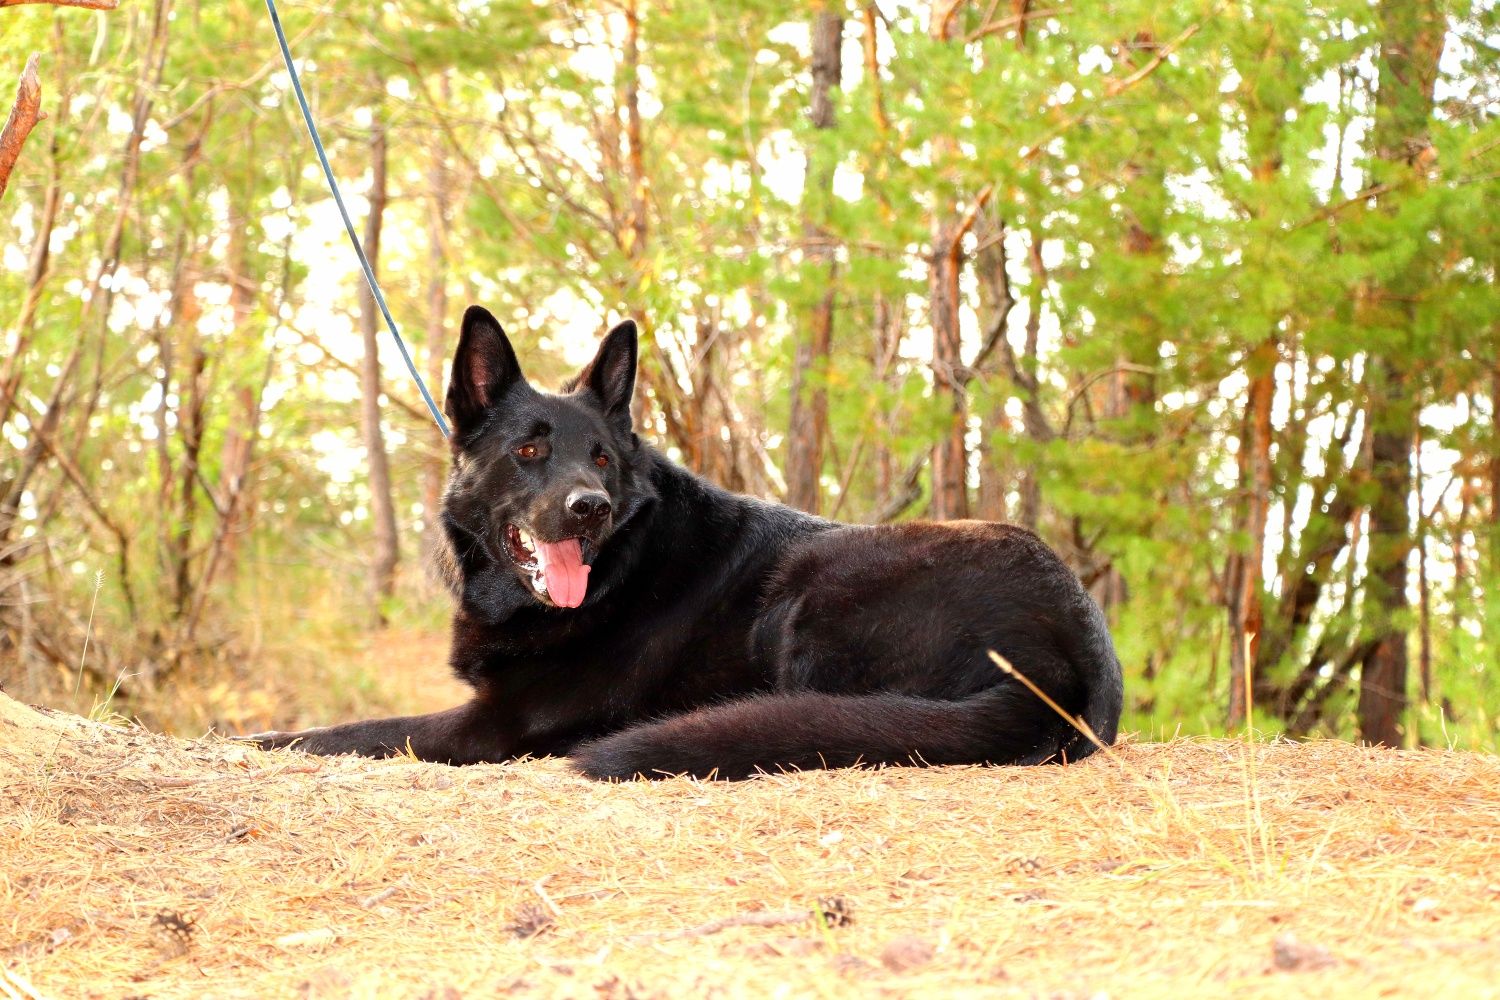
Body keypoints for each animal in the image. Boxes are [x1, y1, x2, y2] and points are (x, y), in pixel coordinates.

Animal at [255, 307, 1128, 779]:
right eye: (529, 450)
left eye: (602, 458)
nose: (589, 509)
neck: (620, 566)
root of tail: (1072, 658)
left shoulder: (493, 726)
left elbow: (347, 732)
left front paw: (254, 738)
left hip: (812, 588)